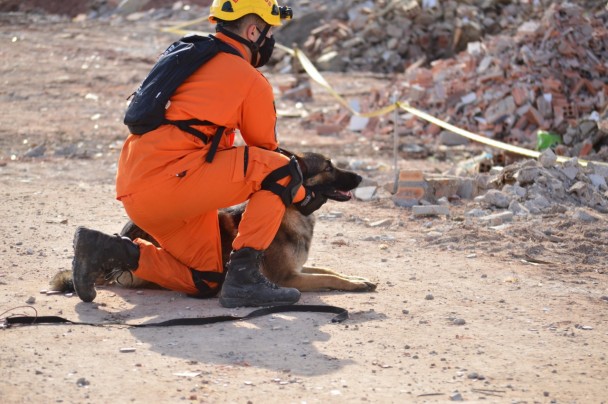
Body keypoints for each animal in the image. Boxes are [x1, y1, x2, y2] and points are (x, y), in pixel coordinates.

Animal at [51, 150, 376, 296]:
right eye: (329, 168)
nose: (361, 177)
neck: (292, 211)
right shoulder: (288, 278)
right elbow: (329, 278)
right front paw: (354, 284)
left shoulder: (298, 269)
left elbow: (330, 271)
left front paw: (357, 278)